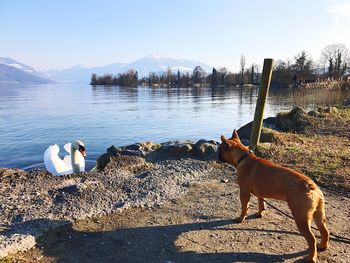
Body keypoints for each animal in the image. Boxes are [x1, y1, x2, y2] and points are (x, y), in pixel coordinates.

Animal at [220, 131, 330, 262]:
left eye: (220, 149)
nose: (218, 155)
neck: (244, 158)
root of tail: (311, 186)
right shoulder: (260, 193)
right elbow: (261, 203)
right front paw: (260, 213)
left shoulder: (244, 192)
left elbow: (244, 207)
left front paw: (241, 218)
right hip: (318, 214)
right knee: (324, 231)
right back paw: (323, 246)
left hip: (301, 218)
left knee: (312, 239)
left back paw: (311, 257)